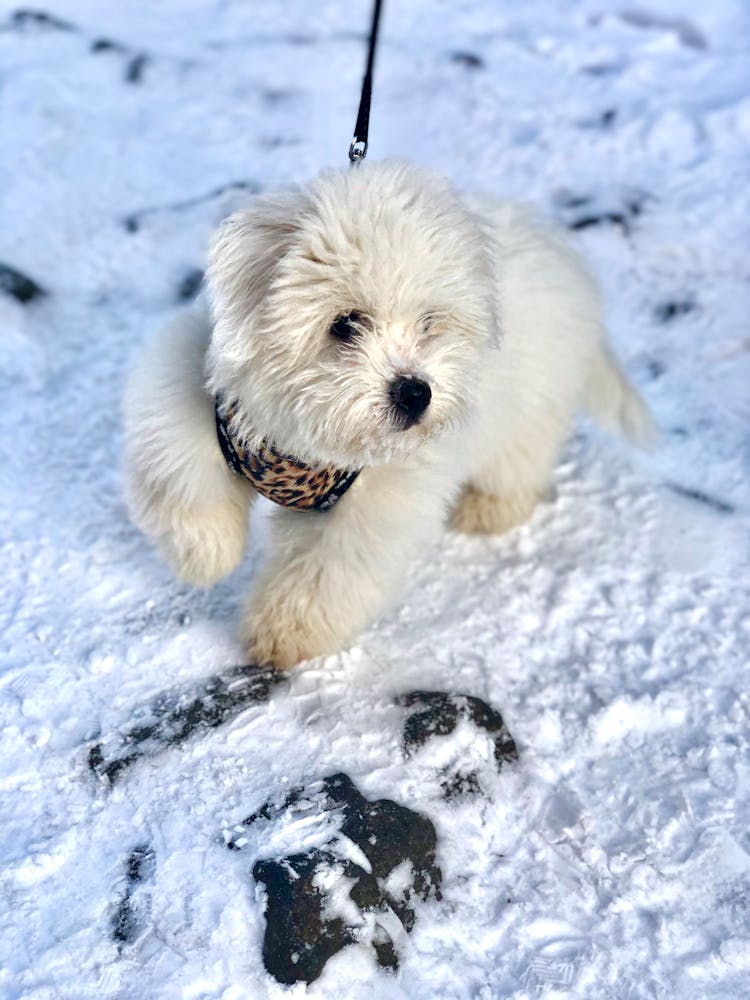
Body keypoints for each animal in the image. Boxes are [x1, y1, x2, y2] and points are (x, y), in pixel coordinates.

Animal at [123, 160, 652, 668]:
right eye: (345, 323)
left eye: (429, 322)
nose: (415, 393)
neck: (305, 436)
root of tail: (561, 253)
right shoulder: (192, 393)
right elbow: (182, 479)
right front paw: (207, 554)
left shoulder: (371, 508)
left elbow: (324, 573)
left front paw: (283, 635)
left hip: (529, 406)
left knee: (517, 465)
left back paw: (486, 509)